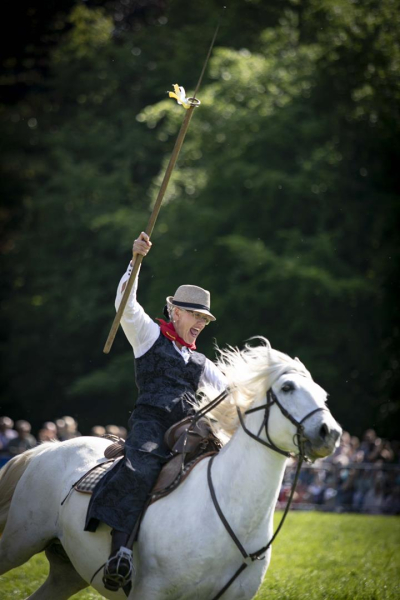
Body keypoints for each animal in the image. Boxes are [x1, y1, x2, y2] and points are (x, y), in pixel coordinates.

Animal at [0, 342, 340, 600]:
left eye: (321, 393)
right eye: (287, 387)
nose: (330, 433)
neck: (227, 513)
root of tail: (46, 449)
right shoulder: (151, 593)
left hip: (67, 571)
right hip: (19, 543)